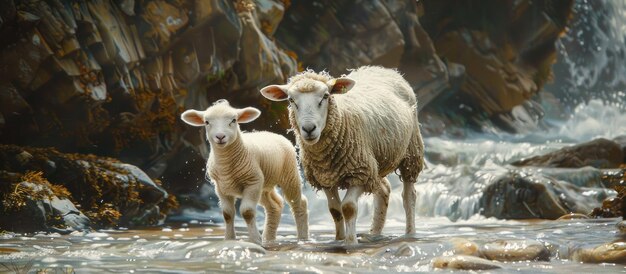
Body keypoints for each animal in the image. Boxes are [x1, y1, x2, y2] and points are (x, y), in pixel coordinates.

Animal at [179, 100, 308, 244]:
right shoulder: (221, 188)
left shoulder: (252, 183)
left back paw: (302, 238)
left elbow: (247, 212)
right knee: (275, 206)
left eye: (233, 120)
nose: (220, 137)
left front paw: (255, 239)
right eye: (207, 122)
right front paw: (229, 239)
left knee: (299, 203)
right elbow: (227, 214)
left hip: (289, 173)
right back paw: (269, 239)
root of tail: (273, 133)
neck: (227, 165)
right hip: (264, 185)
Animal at [258, 66, 424, 244]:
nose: (309, 129)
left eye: (325, 96)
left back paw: (410, 233)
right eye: (291, 100)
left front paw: (350, 242)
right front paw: (339, 239)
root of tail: (382, 69)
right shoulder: (325, 178)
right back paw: (375, 234)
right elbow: (335, 210)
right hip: (374, 162)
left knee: (409, 196)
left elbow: (348, 207)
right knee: (384, 190)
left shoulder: (360, 173)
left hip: (411, 153)